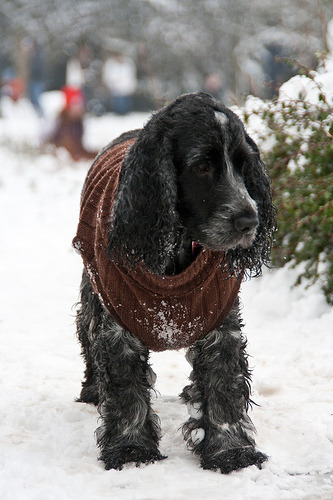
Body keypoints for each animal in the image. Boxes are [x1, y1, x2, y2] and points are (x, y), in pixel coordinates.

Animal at [72, 93, 274, 472]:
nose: (249, 220)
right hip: (92, 293)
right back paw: (92, 391)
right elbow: (126, 389)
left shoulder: (221, 321)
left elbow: (224, 384)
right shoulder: (117, 325)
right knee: (85, 331)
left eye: (244, 165)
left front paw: (231, 450)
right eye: (202, 166)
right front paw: (131, 449)